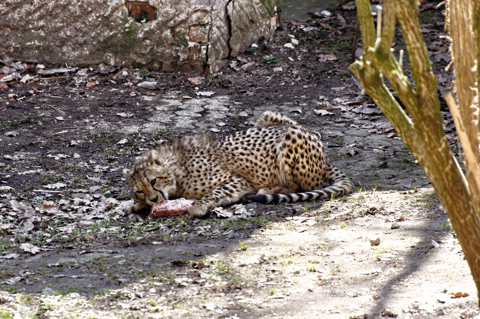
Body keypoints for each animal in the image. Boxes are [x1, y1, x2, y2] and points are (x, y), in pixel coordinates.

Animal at [125, 111, 354, 219]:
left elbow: (215, 192)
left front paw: (197, 206)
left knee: (301, 186)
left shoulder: (238, 181)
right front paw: (138, 205)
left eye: (154, 180)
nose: (154, 199)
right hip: (267, 117)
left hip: (291, 137)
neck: (175, 172)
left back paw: (269, 189)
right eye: (139, 191)